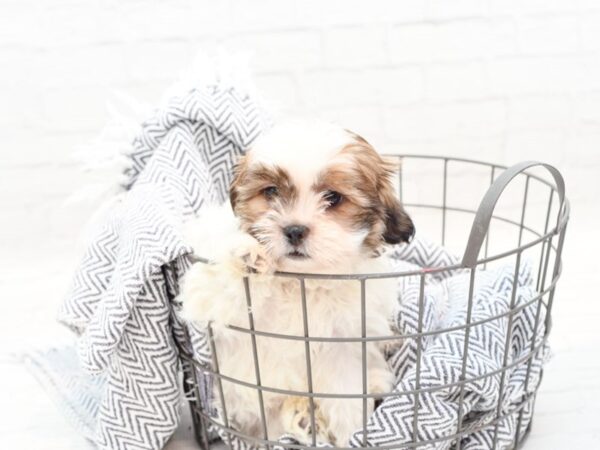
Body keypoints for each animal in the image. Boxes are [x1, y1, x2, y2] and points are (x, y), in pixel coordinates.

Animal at [180, 118, 414, 446]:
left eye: (333, 197)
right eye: (270, 191)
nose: (294, 230)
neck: (298, 283)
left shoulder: (341, 343)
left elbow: (345, 394)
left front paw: (351, 434)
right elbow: (216, 287)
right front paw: (247, 253)